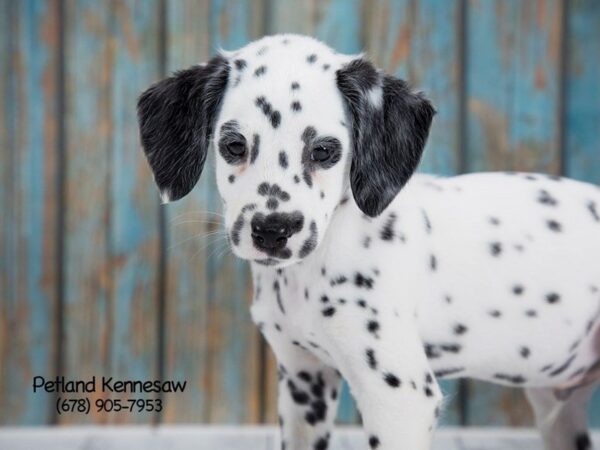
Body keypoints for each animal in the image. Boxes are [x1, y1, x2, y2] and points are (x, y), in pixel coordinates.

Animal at [138, 33, 600, 448]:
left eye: (324, 151)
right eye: (233, 146)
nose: (273, 229)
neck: (309, 273)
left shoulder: (399, 398)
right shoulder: (304, 382)